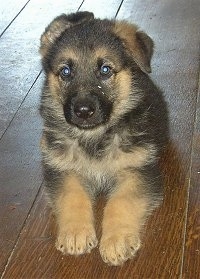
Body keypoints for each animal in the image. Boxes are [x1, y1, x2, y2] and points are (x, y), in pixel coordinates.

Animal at [38, 11, 167, 266]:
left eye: (105, 70)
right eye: (65, 72)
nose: (83, 111)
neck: (95, 137)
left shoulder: (137, 171)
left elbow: (120, 202)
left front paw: (116, 239)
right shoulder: (63, 169)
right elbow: (72, 196)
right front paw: (75, 233)